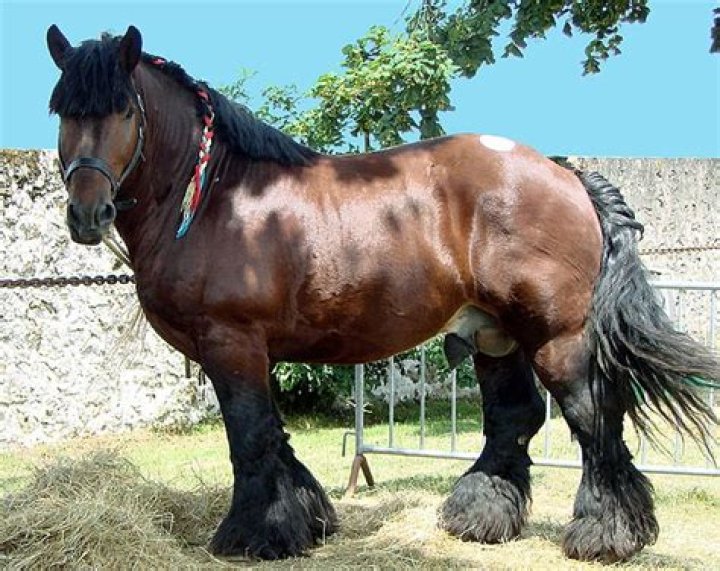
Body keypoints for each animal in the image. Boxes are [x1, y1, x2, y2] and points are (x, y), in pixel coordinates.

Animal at [46, 25, 718, 563]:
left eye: (124, 111)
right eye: (62, 112)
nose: (87, 214)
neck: (217, 198)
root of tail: (564, 173)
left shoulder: (231, 343)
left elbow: (250, 436)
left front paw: (253, 534)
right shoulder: (249, 352)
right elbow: (274, 436)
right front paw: (305, 520)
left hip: (556, 337)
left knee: (593, 416)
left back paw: (605, 534)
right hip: (495, 334)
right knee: (514, 417)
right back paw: (480, 515)